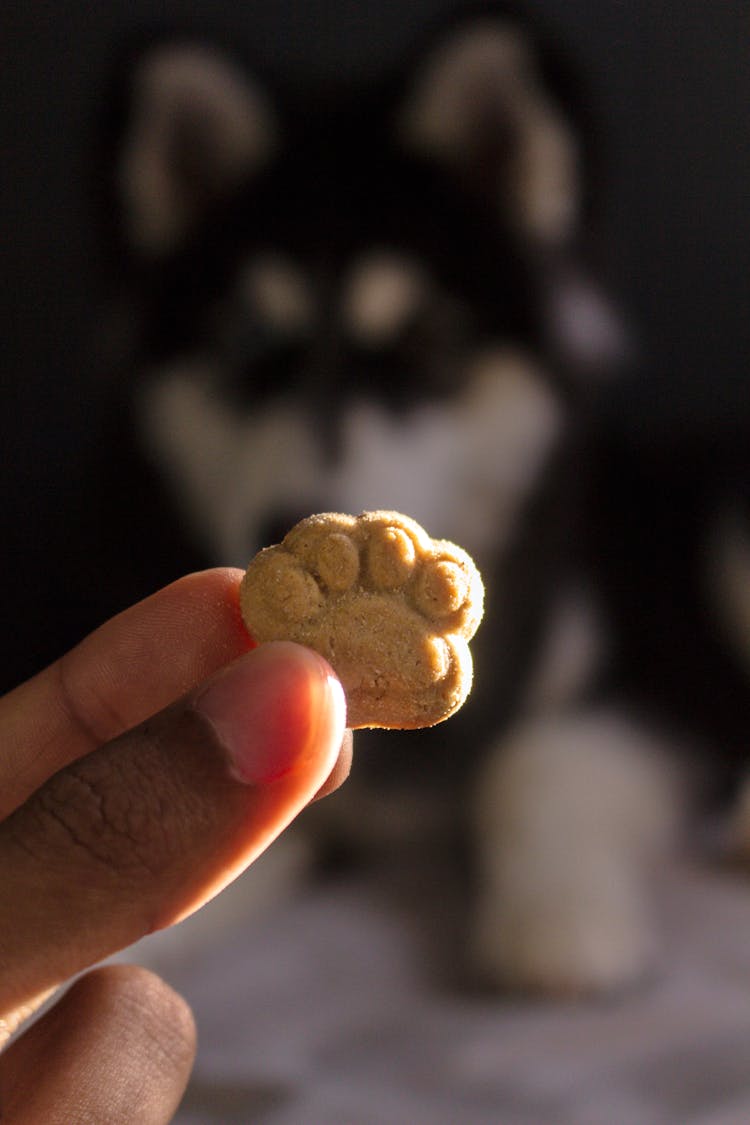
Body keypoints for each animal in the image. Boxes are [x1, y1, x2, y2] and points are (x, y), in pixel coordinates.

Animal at [104, 10, 750, 994]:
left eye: (419, 341)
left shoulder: (673, 683)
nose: (289, 517)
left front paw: (557, 917)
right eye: (248, 339)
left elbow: (528, 757)